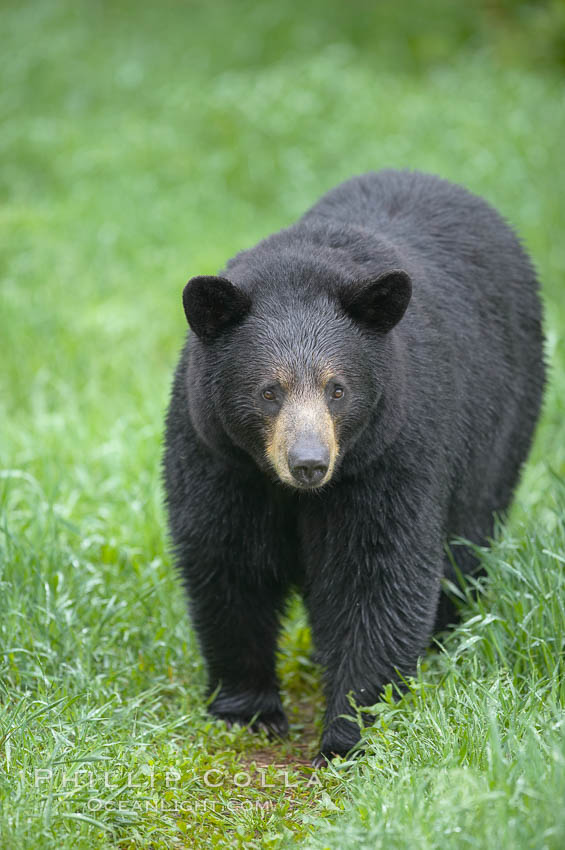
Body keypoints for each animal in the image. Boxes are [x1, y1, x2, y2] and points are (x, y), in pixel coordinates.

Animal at [162, 167, 540, 760]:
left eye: (337, 389)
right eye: (269, 391)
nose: (309, 463)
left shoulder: (391, 454)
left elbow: (377, 574)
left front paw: (350, 734)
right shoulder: (217, 457)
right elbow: (227, 560)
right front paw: (247, 711)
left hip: (503, 428)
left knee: (467, 538)